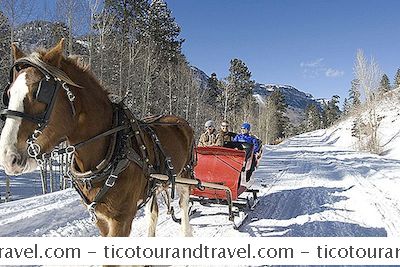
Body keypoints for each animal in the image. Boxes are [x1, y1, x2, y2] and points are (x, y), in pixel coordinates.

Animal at [0, 39, 195, 237]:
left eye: (39, 93)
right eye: (8, 94)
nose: (8, 157)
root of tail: (179, 120)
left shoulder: (121, 220)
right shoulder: (101, 219)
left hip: (185, 176)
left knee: (184, 207)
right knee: (153, 212)